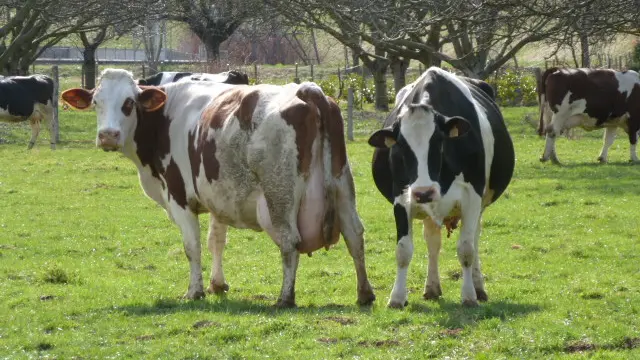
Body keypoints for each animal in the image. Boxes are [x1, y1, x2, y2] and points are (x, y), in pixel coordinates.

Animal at [60, 69, 376, 308]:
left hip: (279, 197)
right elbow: (216, 241)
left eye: (128, 103)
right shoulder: (218, 196)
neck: (164, 116)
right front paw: (217, 285)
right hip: (342, 186)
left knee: (290, 243)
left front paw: (195, 291)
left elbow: (193, 246)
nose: (107, 135)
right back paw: (364, 294)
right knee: (355, 235)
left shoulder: (179, 198)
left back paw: (285, 298)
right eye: (96, 102)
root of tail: (305, 90)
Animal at [368, 67, 512, 306]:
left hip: (479, 205)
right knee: (433, 242)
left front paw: (469, 296)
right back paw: (432, 288)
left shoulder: (472, 198)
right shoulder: (402, 197)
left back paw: (478, 287)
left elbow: (466, 250)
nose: (424, 192)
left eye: (438, 142)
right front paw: (397, 297)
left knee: (474, 239)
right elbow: (403, 251)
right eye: (401, 146)